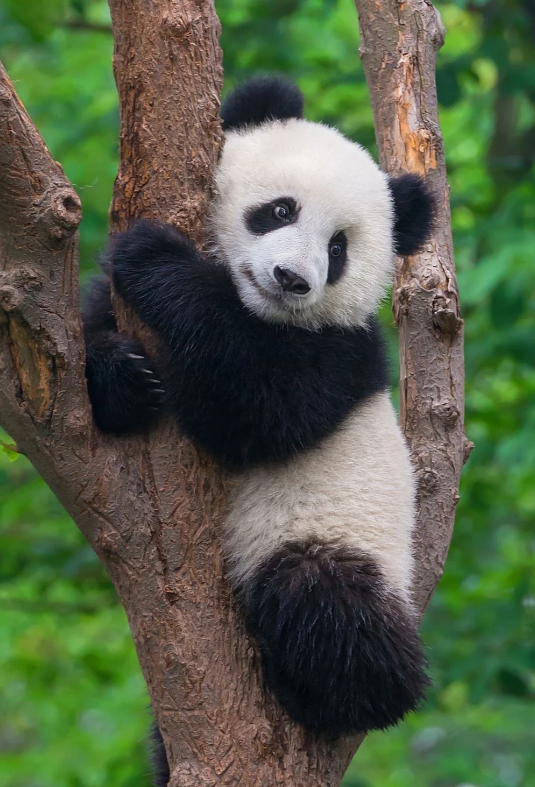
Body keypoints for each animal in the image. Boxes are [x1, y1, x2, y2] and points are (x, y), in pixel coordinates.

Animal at [83, 77, 434, 756]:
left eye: (338, 249)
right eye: (279, 211)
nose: (292, 279)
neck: (260, 309)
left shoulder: (341, 354)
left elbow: (257, 407)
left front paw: (154, 258)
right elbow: (86, 339)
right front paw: (122, 378)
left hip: (338, 538)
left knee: (326, 604)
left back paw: (333, 693)